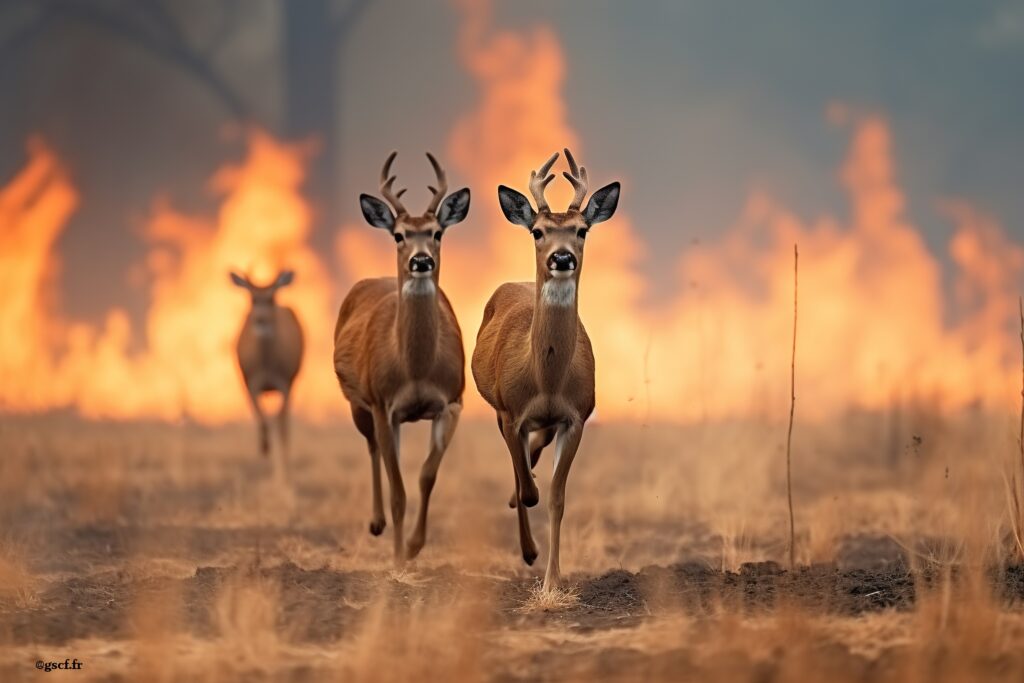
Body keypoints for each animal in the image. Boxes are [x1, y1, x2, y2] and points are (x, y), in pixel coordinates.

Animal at [233, 266, 305, 475]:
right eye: (252, 298)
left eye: (272, 298)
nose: (261, 320)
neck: (266, 367)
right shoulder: (250, 383)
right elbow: (260, 417)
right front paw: (264, 446)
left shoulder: (285, 383)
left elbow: (279, 421)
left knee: (284, 424)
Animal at [335, 152, 471, 565]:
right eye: (398, 234)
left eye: (437, 232)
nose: (421, 260)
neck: (416, 369)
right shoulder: (383, 403)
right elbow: (398, 490)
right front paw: (397, 559)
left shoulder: (452, 401)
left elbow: (426, 475)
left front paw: (413, 546)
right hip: (359, 403)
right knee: (373, 448)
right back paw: (376, 523)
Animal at [468, 150, 614, 593]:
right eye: (537, 231)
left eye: (582, 230)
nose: (562, 257)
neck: (546, 381)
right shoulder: (510, 411)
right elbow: (528, 489)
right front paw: (533, 554)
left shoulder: (575, 417)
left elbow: (556, 498)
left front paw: (552, 582)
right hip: (498, 408)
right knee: (519, 473)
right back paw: (527, 543)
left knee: (535, 454)